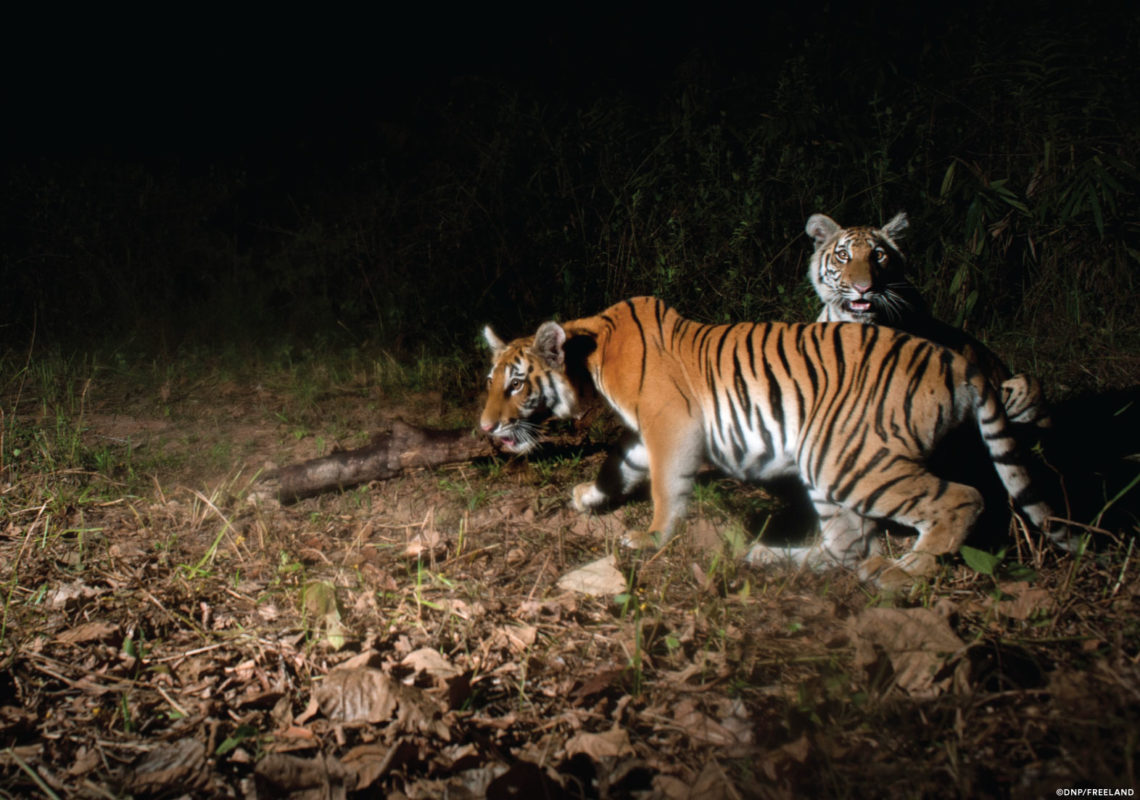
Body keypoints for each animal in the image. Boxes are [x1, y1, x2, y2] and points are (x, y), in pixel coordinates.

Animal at [483, 296, 1076, 588]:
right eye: (491, 381)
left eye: (516, 384)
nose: (485, 429)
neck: (591, 357)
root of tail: (959, 360)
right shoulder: (646, 433)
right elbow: (620, 464)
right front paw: (589, 497)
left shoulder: (670, 422)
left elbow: (665, 487)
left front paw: (651, 538)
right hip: (828, 462)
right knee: (845, 544)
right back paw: (763, 556)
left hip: (849, 460)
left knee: (960, 499)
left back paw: (902, 574)